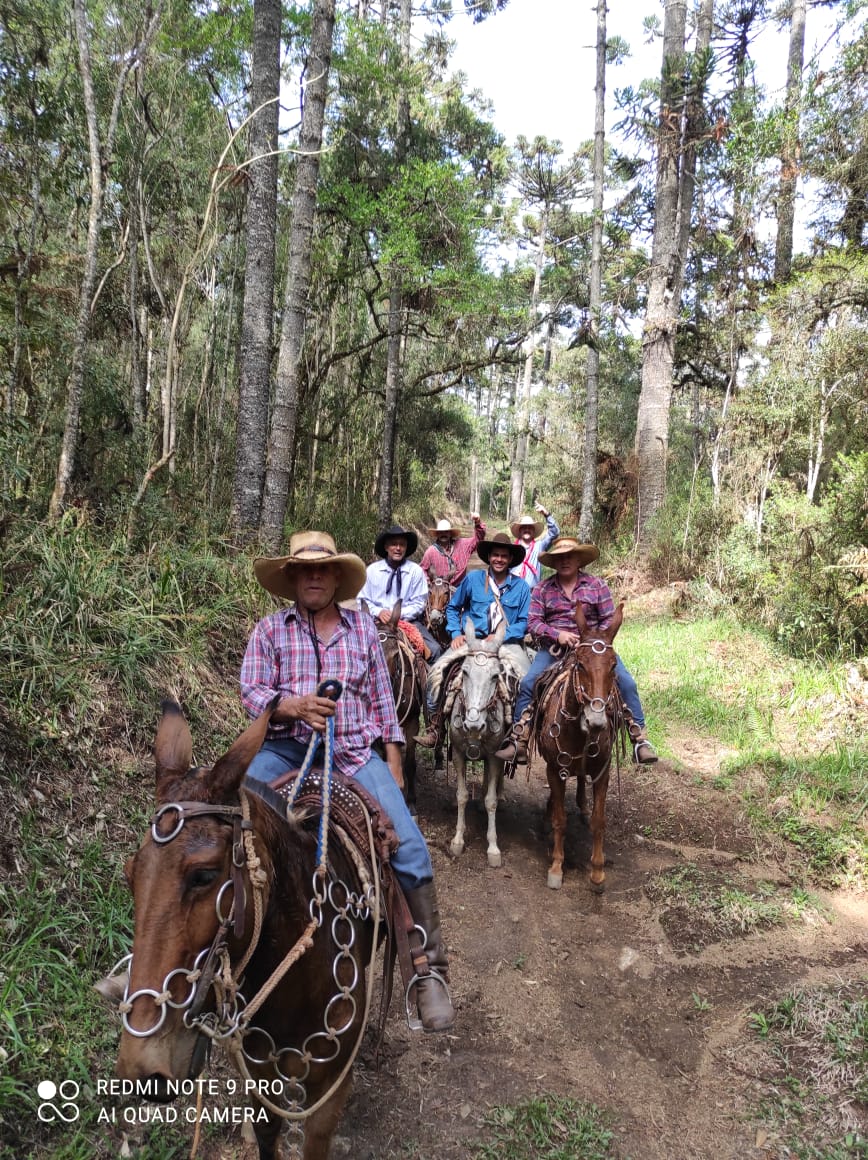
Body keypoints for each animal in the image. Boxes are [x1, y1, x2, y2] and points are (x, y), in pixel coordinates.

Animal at [110, 696, 375, 1160]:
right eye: (130, 875)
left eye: (203, 875)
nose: (142, 1069)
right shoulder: (261, 1082)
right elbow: (267, 1132)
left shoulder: (329, 1097)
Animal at [531, 603, 621, 890]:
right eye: (580, 664)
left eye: (614, 665)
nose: (596, 721)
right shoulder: (553, 769)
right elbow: (560, 820)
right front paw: (557, 867)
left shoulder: (602, 772)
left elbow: (598, 820)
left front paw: (598, 871)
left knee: (581, 779)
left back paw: (581, 804)